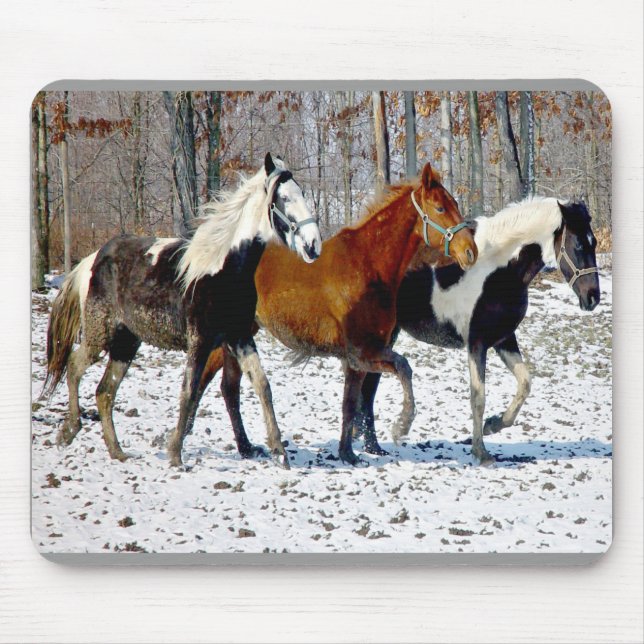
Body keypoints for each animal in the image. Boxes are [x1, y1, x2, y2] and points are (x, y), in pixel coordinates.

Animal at [43, 153, 322, 469]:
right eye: (283, 198)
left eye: (302, 193)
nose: (313, 245)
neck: (223, 269)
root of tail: (93, 260)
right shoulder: (200, 341)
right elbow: (189, 391)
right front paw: (175, 454)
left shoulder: (239, 337)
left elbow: (263, 385)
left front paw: (279, 452)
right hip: (99, 335)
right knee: (74, 367)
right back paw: (70, 430)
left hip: (126, 343)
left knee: (104, 391)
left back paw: (117, 452)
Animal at [197, 162, 479, 465]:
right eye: (440, 208)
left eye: (454, 204)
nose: (470, 252)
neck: (368, 265)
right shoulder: (361, 352)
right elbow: (402, 369)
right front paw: (402, 424)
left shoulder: (357, 359)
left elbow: (350, 402)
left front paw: (348, 453)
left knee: (227, 387)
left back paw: (245, 447)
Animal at [353, 197, 601, 465]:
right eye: (578, 245)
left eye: (594, 243)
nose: (593, 298)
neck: (499, 269)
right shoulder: (477, 343)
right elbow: (478, 397)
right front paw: (481, 452)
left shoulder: (504, 340)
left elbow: (525, 383)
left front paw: (493, 424)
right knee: (368, 384)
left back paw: (371, 444)